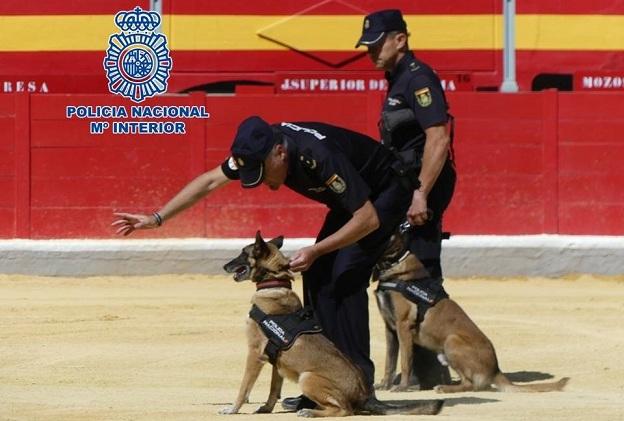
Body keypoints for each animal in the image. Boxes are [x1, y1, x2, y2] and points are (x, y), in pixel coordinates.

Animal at [219, 231, 444, 416]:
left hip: (307, 377)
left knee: (344, 410)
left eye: (242, 253)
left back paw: (310, 412)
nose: (224, 266)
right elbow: (274, 390)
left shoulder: (255, 354)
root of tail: (364, 395)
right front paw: (266, 408)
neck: (273, 283)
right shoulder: (277, 363)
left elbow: (244, 387)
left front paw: (233, 408)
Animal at [372, 228, 572, 392]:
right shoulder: (391, 330)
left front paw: (402, 387)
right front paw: (384, 384)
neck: (394, 263)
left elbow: (405, 362)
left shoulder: (404, 326)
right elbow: (390, 362)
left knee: (470, 384)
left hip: (452, 340)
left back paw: (445, 388)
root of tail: (495, 370)